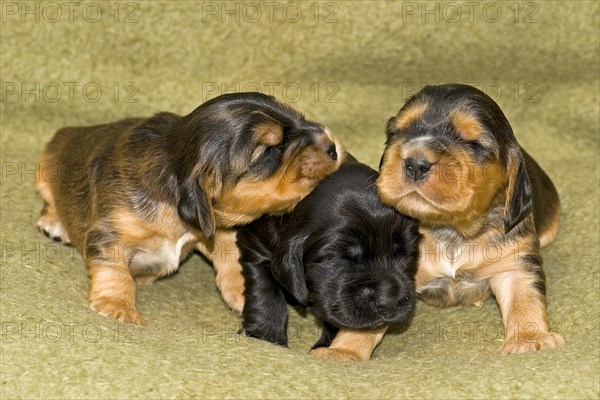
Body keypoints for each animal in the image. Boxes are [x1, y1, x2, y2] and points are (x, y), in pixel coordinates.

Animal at [37, 93, 344, 324]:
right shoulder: (111, 230)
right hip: (44, 168)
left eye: (299, 117)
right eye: (270, 150)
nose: (333, 146)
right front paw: (118, 306)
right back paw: (54, 224)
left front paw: (242, 291)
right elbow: (115, 269)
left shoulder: (216, 227)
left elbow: (230, 254)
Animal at [233, 156, 418, 350]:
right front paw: (265, 336)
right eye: (338, 258)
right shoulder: (255, 246)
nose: (388, 303)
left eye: (405, 254)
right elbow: (265, 291)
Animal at [318, 83, 568, 360]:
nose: (415, 163)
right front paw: (343, 352)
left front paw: (529, 339)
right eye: (396, 132)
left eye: (472, 142)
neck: (451, 229)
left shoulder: (515, 264)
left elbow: (525, 301)